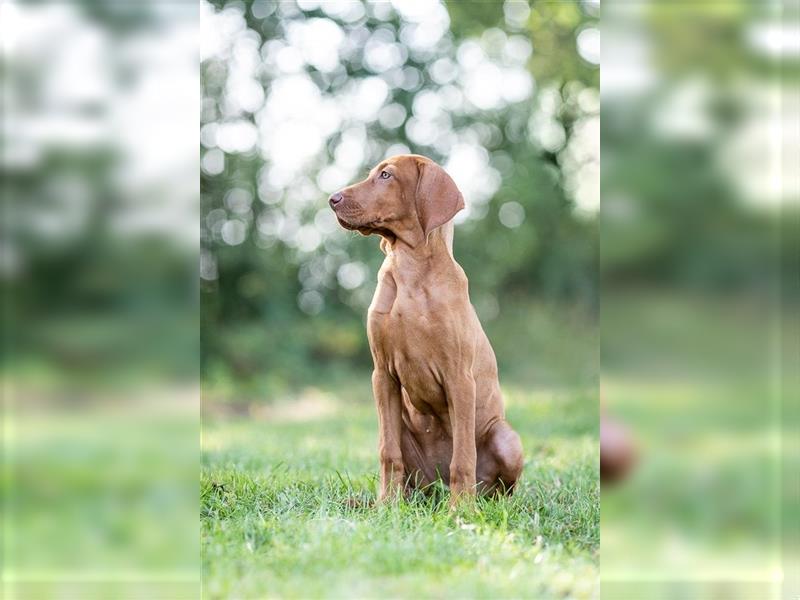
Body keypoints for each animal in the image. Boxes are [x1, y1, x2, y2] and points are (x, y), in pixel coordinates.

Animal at [328, 155, 520, 502]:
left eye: (386, 175)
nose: (331, 199)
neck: (411, 268)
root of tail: (436, 488)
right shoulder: (382, 375)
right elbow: (387, 452)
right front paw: (386, 506)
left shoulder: (460, 378)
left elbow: (463, 457)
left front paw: (461, 510)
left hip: (506, 437)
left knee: (497, 487)